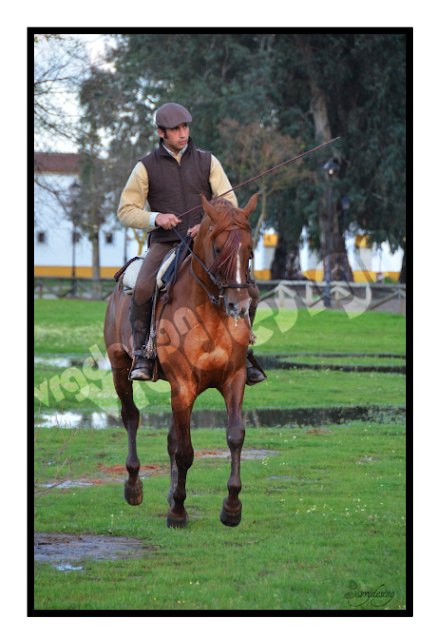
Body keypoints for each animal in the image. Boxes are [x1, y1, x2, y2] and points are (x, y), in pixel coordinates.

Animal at [103, 192, 260, 528]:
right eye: (218, 248)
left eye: (250, 249)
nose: (239, 306)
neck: (209, 313)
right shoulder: (184, 386)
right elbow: (185, 451)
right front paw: (177, 511)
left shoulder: (234, 379)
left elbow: (235, 437)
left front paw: (231, 507)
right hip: (119, 366)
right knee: (131, 416)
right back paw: (134, 486)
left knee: (170, 436)